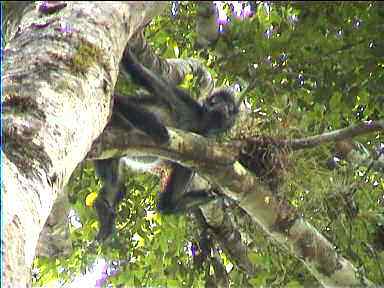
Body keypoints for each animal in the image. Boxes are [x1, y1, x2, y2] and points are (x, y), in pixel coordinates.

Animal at [94, 47, 238, 241]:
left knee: (114, 180)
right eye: (216, 101)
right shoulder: (187, 103)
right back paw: (152, 125)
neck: (200, 124)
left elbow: (167, 205)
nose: (221, 107)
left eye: (229, 107)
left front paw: (214, 194)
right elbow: (139, 73)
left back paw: (103, 205)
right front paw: (128, 53)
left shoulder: (199, 149)